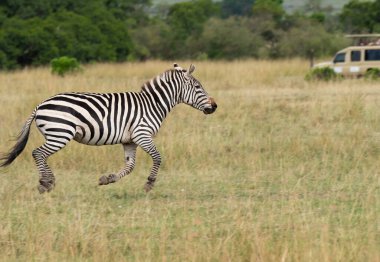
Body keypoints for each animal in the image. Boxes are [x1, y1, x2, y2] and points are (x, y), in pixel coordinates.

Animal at [0, 64, 217, 193]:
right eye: (198, 87)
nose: (214, 106)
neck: (153, 104)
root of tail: (40, 105)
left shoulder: (129, 140)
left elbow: (130, 166)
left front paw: (107, 179)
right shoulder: (142, 134)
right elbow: (157, 158)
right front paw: (149, 183)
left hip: (57, 134)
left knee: (39, 154)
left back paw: (46, 182)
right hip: (60, 133)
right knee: (38, 153)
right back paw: (47, 183)